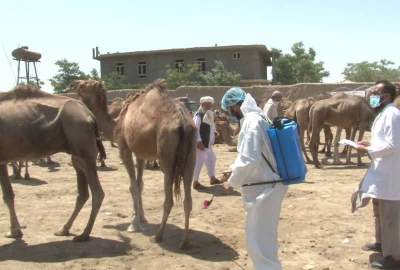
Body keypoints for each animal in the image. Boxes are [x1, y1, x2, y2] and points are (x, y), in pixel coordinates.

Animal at [0, 84, 104, 240]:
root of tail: (90, 115)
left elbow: (7, 194)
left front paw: (14, 232)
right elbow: (8, 193)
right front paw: (15, 231)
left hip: (83, 143)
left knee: (97, 193)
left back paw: (83, 235)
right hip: (77, 153)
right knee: (83, 193)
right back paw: (64, 229)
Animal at [72, 78, 198, 249]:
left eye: (85, 84)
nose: (73, 83)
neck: (117, 123)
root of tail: (184, 124)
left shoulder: (125, 148)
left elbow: (132, 186)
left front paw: (134, 224)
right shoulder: (141, 154)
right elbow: (140, 184)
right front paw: (141, 217)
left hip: (166, 157)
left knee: (169, 199)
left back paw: (158, 236)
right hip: (191, 155)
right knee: (188, 200)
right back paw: (185, 241)